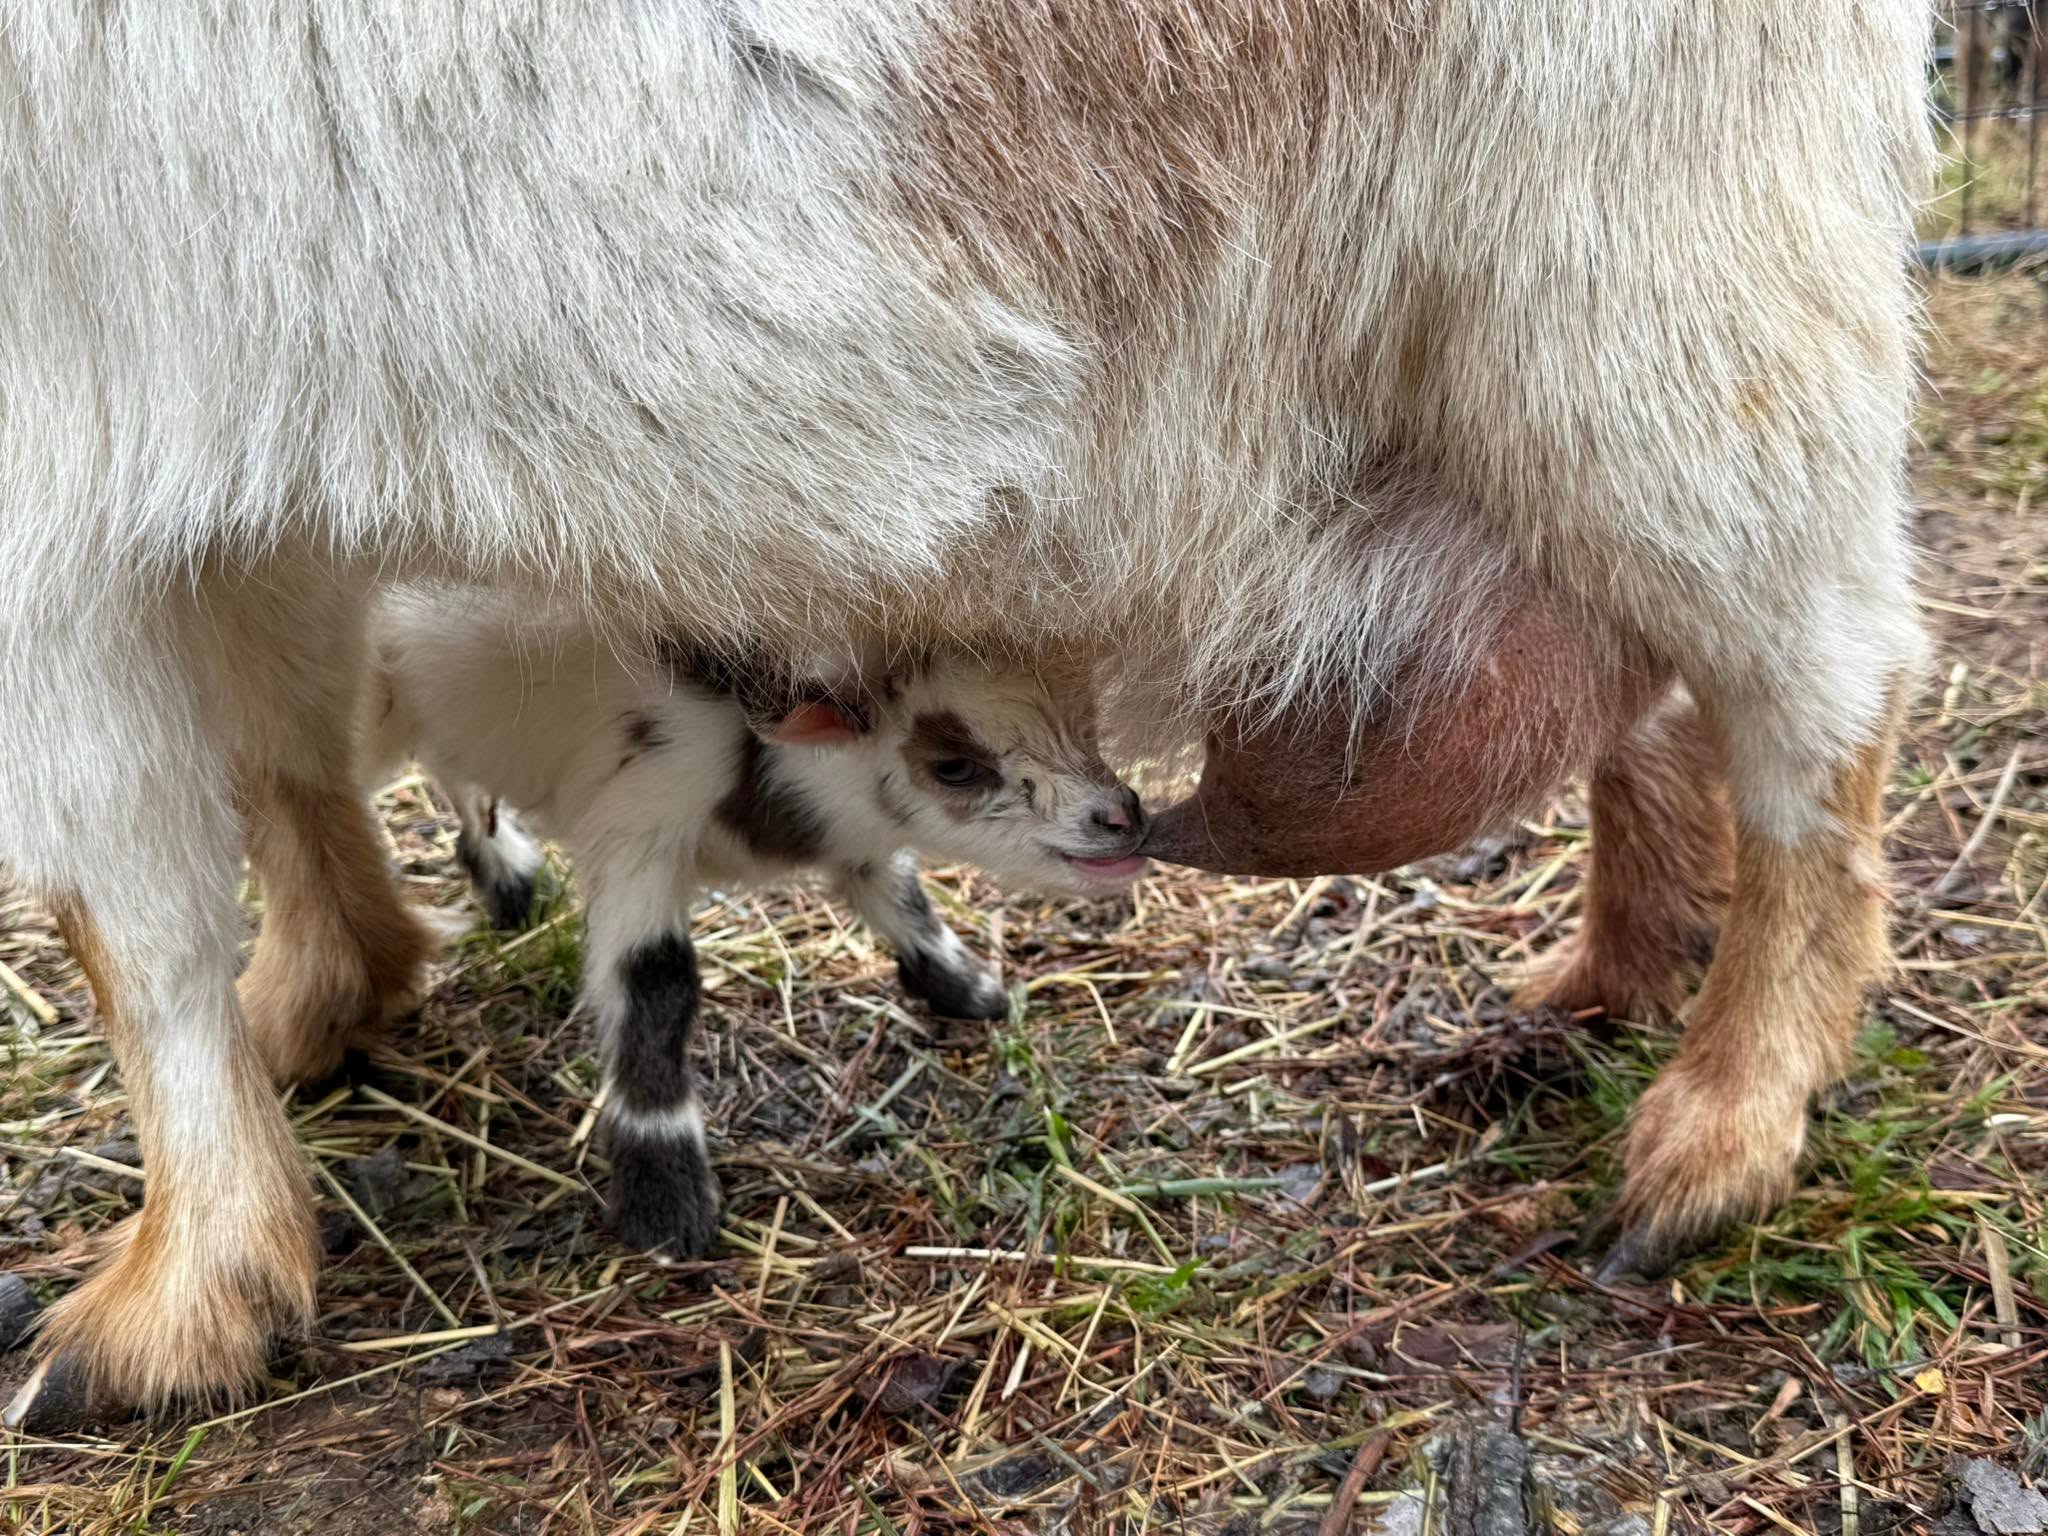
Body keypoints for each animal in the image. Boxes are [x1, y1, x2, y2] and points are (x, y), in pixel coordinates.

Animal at [364, 586, 1148, 1255]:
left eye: (1088, 727)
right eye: (955, 766)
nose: (1123, 818)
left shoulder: (847, 837)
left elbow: (896, 889)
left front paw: (967, 989)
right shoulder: (640, 822)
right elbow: (655, 983)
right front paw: (665, 1197)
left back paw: (508, 878)